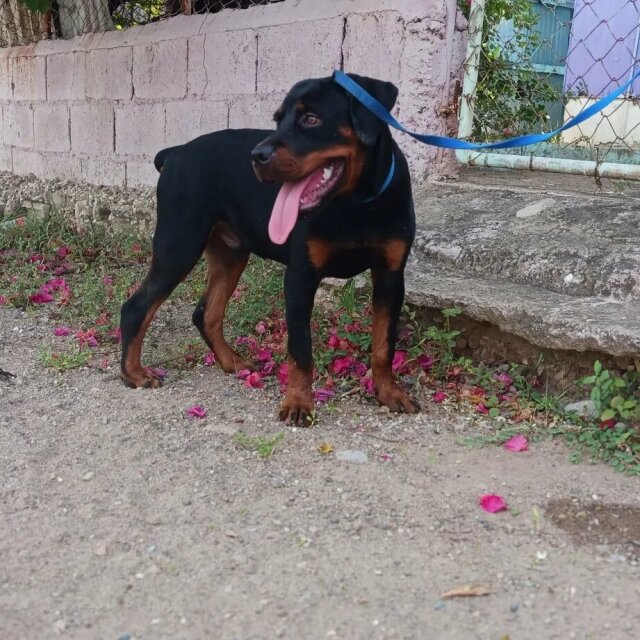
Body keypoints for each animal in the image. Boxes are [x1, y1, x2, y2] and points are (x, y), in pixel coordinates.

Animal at [120, 72, 420, 422]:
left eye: (311, 118)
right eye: (278, 119)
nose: (257, 156)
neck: (356, 205)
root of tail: (175, 153)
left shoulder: (390, 276)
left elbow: (384, 345)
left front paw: (389, 393)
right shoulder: (301, 276)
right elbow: (301, 349)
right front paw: (298, 404)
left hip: (230, 253)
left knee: (206, 313)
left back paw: (232, 362)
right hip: (179, 243)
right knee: (136, 307)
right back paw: (135, 374)